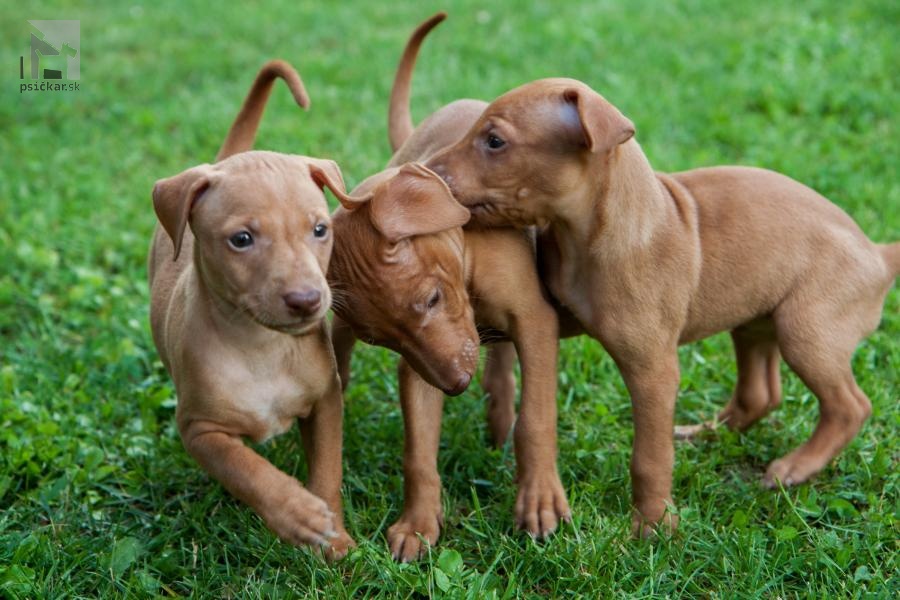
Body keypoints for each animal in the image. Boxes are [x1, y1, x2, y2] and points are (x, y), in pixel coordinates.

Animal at [149, 61, 354, 556]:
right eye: (241, 240)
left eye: (320, 229)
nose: (307, 300)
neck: (263, 347)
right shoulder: (200, 430)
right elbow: (247, 470)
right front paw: (298, 514)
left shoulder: (327, 400)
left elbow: (328, 468)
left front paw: (334, 539)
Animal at [430, 76, 900, 536]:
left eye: (494, 141)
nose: (428, 171)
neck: (589, 235)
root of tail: (877, 253)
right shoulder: (560, 314)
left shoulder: (653, 369)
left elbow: (650, 456)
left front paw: (652, 525)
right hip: (755, 321)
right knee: (760, 395)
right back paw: (704, 433)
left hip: (807, 333)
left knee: (849, 406)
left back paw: (796, 467)